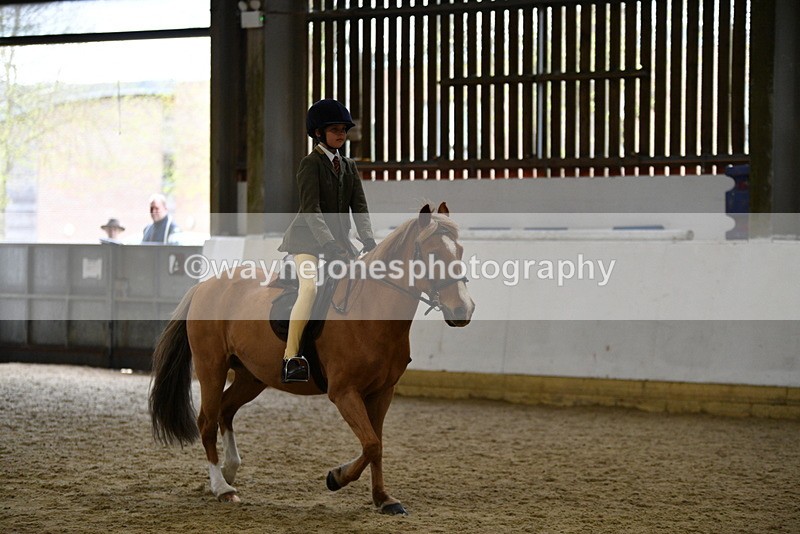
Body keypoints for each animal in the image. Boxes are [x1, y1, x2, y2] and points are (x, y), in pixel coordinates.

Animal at [148, 202, 475, 515]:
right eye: (431, 254)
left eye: (459, 251)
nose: (463, 310)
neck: (370, 310)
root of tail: (205, 286)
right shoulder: (344, 393)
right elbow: (370, 444)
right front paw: (336, 477)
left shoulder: (383, 392)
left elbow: (377, 445)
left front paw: (383, 499)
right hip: (211, 367)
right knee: (207, 421)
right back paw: (221, 487)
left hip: (252, 376)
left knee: (225, 410)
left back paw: (229, 471)